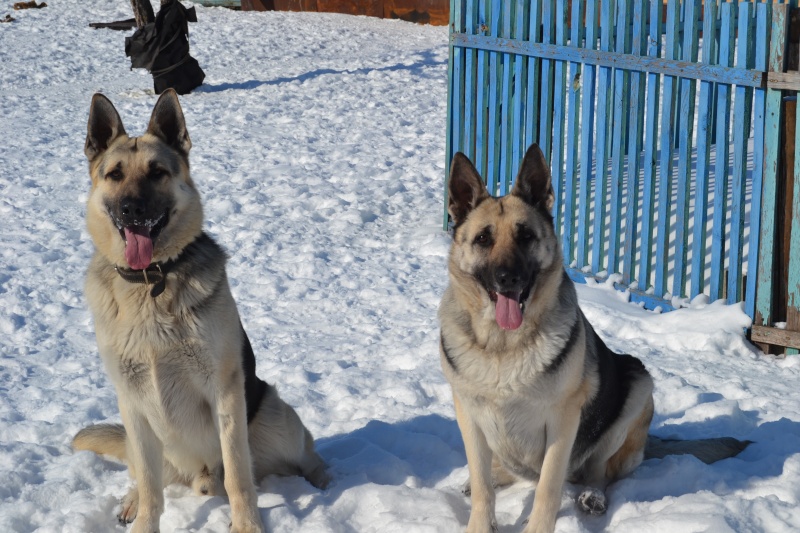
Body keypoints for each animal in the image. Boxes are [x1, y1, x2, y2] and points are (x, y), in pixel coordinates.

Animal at [72, 90, 328, 532]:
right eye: (115, 174)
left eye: (157, 172)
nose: (131, 209)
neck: (151, 282)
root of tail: (200, 475)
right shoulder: (132, 402)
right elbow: (151, 487)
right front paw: (144, 518)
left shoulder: (224, 392)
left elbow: (240, 477)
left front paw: (247, 526)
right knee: (148, 476)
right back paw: (131, 499)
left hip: (276, 418)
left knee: (304, 453)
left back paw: (324, 479)